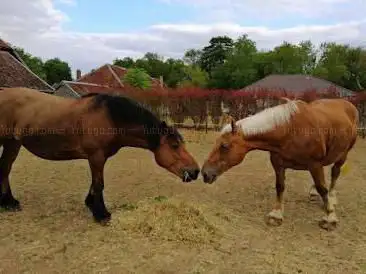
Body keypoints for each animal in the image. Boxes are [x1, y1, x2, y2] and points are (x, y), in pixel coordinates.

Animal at [0, 88, 200, 225]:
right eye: (174, 145)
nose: (195, 171)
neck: (111, 117)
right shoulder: (96, 156)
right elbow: (99, 184)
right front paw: (101, 214)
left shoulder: (99, 157)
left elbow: (95, 183)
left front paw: (91, 204)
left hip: (13, 143)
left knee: (5, 168)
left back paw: (9, 202)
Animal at [200, 97, 358, 230]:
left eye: (224, 146)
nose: (205, 173)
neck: (289, 131)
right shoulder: (278, 164)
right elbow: (280, 186)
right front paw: (276, 215)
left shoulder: (314, 164)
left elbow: (322, 188)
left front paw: (329, 217)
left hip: (343, 155)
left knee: (335, 173)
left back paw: (332, 198)